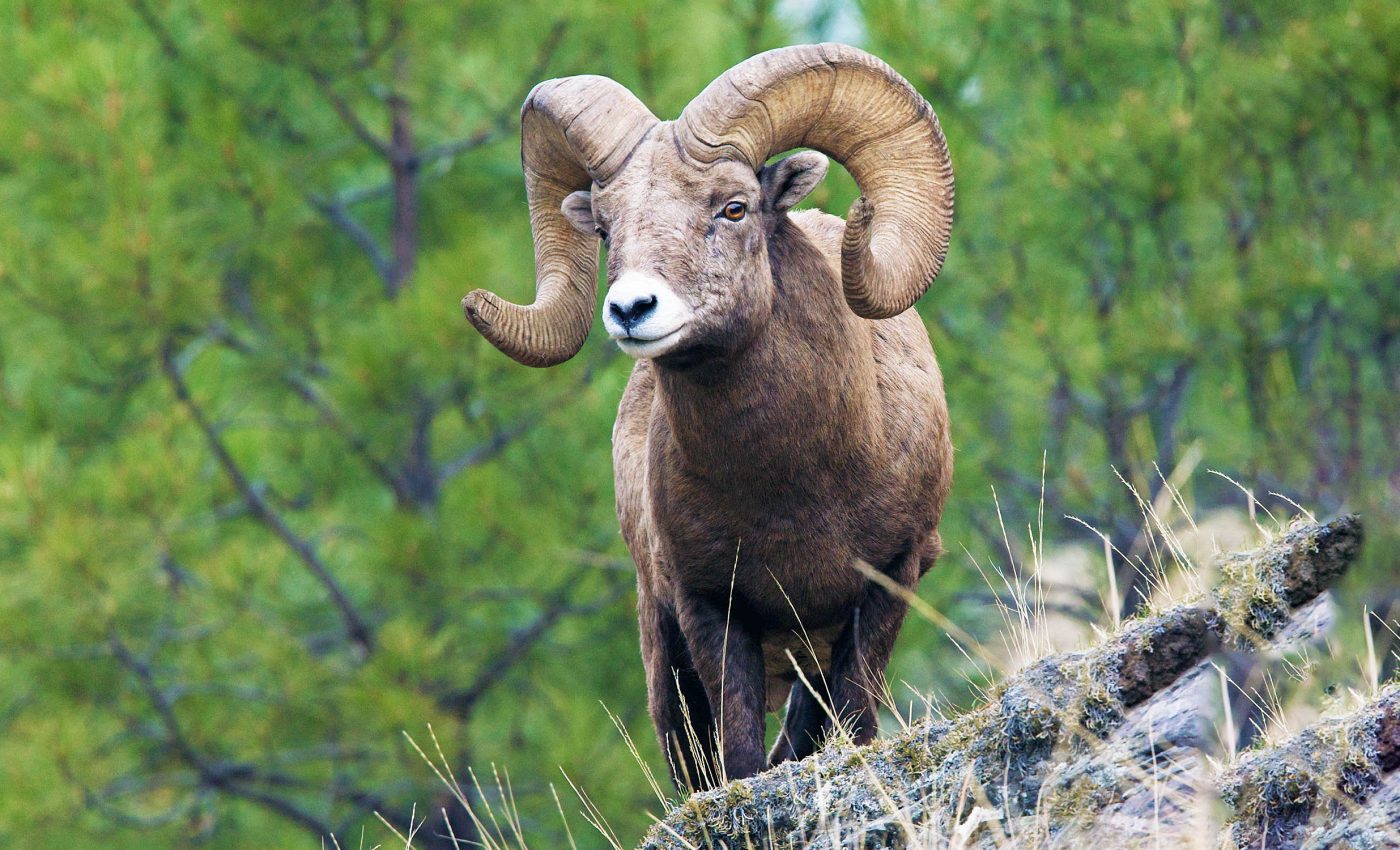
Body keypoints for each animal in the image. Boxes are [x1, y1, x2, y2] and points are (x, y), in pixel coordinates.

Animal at [462, 43, 954, 791]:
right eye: (604, 227)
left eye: (734, 207)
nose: (631, 309)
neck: (798, 491)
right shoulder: (709, 610)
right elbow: (740, 759)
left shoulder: (888, 583)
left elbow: (855, 723)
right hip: (666, 661)